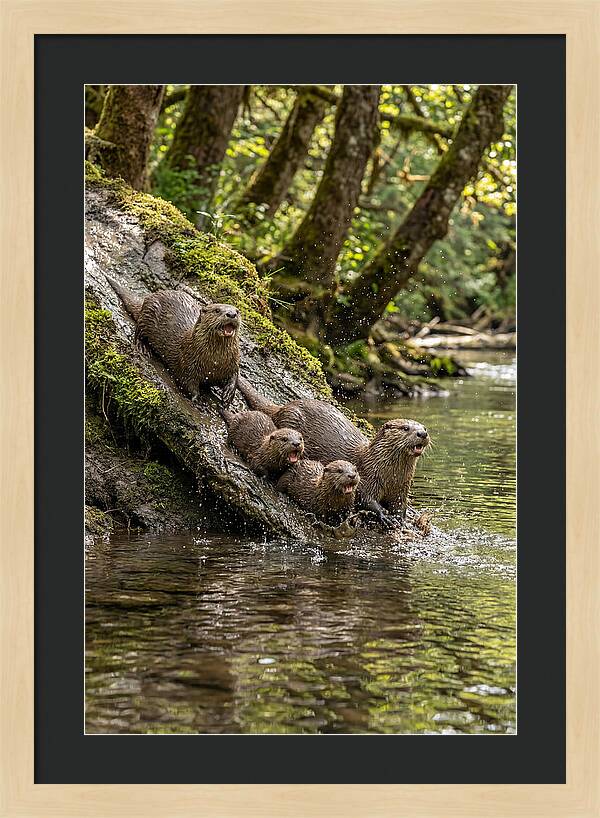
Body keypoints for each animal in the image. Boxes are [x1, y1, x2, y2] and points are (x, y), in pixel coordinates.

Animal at [106, 277, 240, 406]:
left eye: (237, 311)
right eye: (217, 310)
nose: (231, 314)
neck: (214, 362)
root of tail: (151, 296)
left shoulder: (232, 362)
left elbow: (234, 375)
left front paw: (228, 394)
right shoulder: (188, 362)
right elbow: (187, 383)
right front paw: (198, 400)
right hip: (148, 313)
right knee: (139, 329)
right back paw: (142, 347)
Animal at [238, 378, 430, 527]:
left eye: (424, 427)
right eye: (406, 428)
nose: (422, 433)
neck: (390, 475)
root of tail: (284, 408)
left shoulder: (401, 488)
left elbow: (400, 505)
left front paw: (401, 519)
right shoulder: (368, 478)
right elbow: (366, 499)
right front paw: (385, 515)